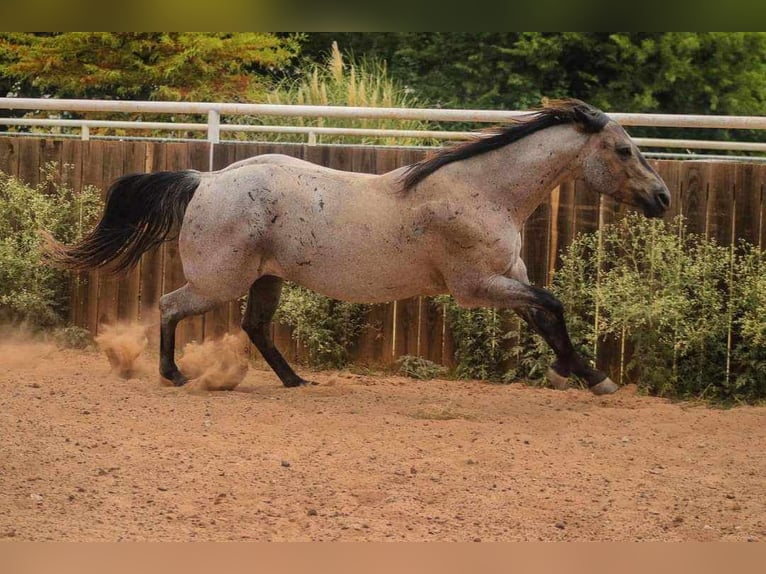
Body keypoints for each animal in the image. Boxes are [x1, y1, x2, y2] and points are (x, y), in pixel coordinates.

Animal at [45, 99, 672, 396]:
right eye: (623, 149)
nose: (662, 197)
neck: (484, 192)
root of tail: (206, 179)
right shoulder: (478, 287)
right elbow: (555, 305)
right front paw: (577, 374)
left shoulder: (508, 280)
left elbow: (547, 314)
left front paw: (586, 375)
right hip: (217, 281)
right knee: (171, 306)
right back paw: (174, 375)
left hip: (266, 278)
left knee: (255, 327)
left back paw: (295, 382)